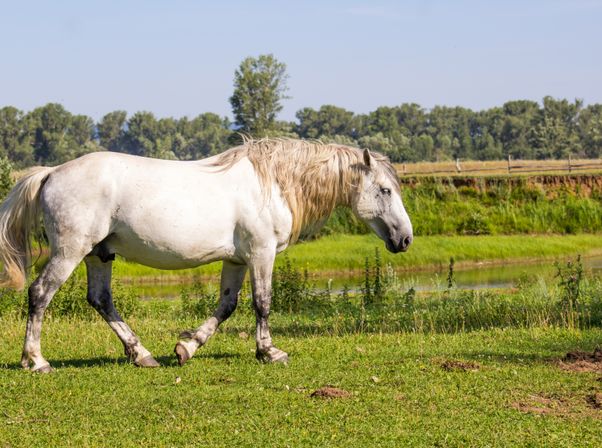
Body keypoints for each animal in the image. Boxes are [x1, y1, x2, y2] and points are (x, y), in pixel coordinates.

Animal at [0, 138, 413, 373]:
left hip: (99, 255)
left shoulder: (236, 260)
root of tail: (52, 172)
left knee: (101, 300)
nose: (405, 239)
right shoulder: (261, 254)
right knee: (40, 294)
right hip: (70, 252)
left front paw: (186, 347)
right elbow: (263, 303)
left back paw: (142, 355)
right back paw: (36, 361)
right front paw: (269, 352)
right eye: (385, 190)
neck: (272, 183)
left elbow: (227, 306)